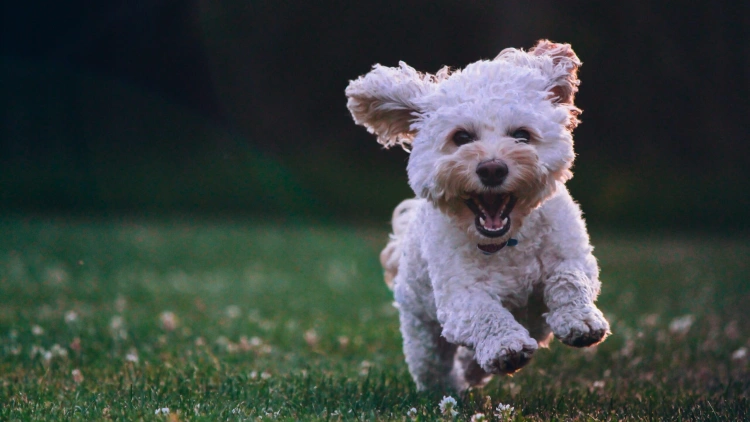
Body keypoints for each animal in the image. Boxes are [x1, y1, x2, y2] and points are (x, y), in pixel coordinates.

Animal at [346, 40, 612, 392]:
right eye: (461, 137)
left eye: (522, 135)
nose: (492, 168)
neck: (507, 242)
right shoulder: (459, 295)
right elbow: (484, 313)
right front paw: (505, 346)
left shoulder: (572, 254)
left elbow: (569, 278)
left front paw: (580, 320)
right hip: (421, 330)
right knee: (433, 365)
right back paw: (451, 387)